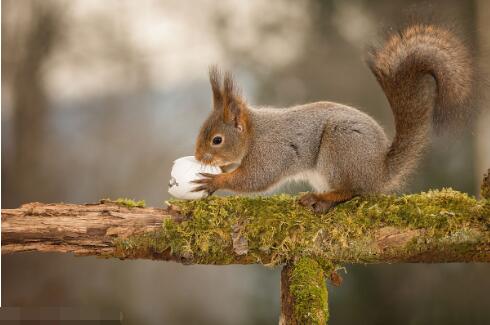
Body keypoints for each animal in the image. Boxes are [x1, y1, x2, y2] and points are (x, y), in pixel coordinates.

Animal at [191, 25, 474, 213]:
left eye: (217, 140)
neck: (253, 133)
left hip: (339, 149)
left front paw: (215, 180)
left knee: (352, 191)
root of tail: (379, 172)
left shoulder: (270, 151)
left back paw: (323, 198)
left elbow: (256, 178)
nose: (198, 156)